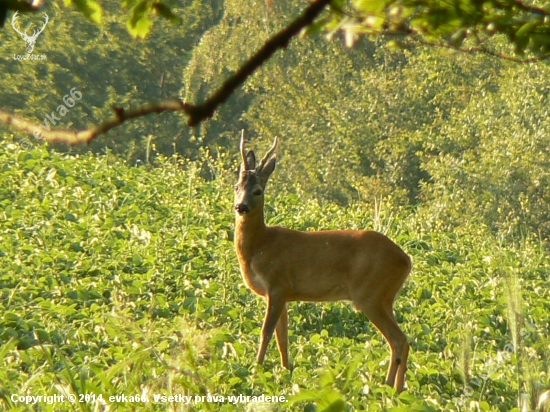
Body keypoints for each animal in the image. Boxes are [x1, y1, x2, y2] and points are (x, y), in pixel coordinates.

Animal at [235, 133, 412, 392]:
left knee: (398, 339)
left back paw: (388, 386)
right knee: (402, 340)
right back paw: (397, 389)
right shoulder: (283, 294)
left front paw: (256, 371)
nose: (241, 206)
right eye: (236, 187)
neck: (260, 246)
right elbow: (283, 337)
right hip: (386, 297)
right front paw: (286, 372)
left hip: (370, 294)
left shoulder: (277, 284)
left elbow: (266, 332)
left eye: (258, 191)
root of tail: (406, 260)